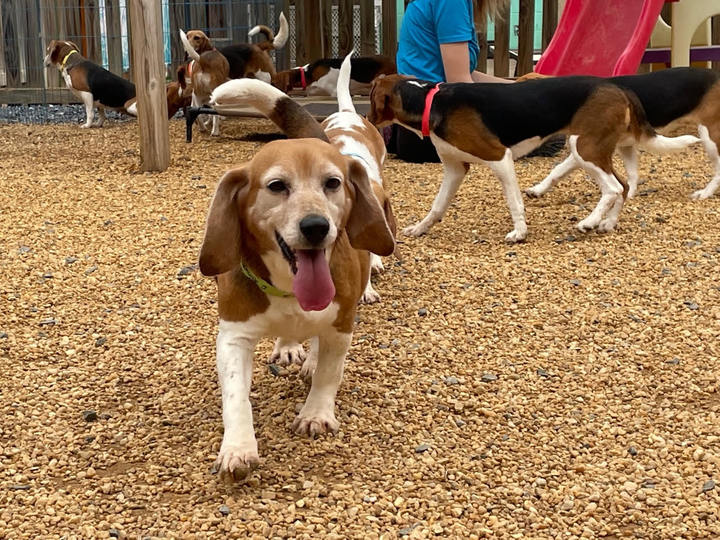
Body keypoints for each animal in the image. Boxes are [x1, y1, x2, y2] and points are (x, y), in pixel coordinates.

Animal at [366, 73, 696, 238]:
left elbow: (514, 202)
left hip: (584, 148)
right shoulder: (454, 169)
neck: (429, 101)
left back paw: (589, 222)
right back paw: (607, 224)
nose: (366, 118)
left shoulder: (499, 158)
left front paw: (519, 232)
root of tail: (620, 87)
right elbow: (437, 206)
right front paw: (420, 228)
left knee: (614, 188)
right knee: (624, 187)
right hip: (593, 150)